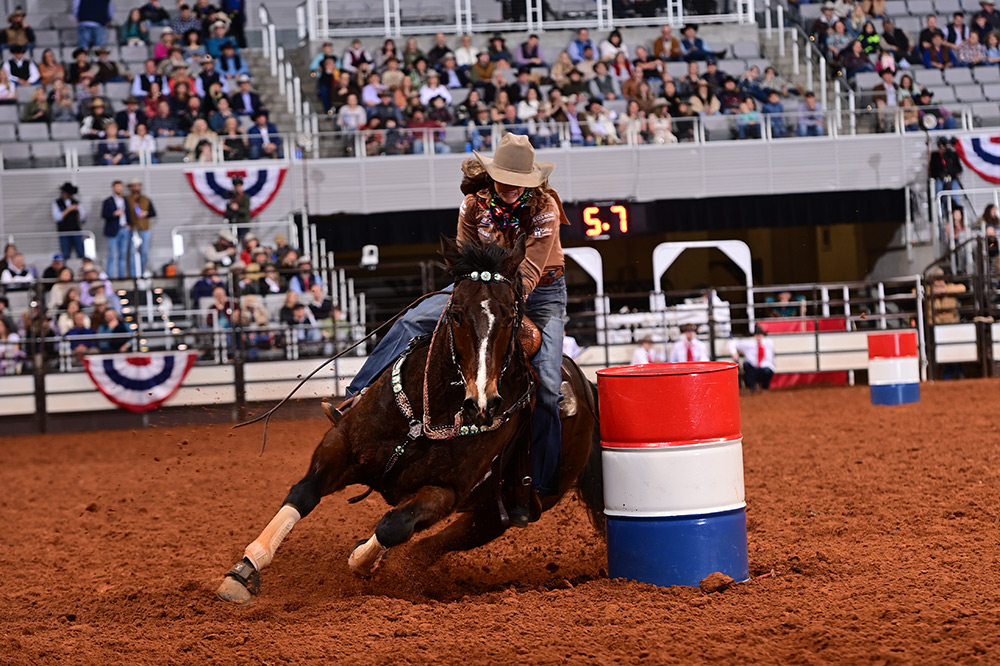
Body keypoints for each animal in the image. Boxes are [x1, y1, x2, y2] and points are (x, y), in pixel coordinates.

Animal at [216, 237, 600, 600]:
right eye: (456, 313)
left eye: (510, 317)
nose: (482, 403)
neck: (428, 416)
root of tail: (587, 388)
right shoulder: (342, 444)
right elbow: (304, 493)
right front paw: (244, 570)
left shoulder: (444, 492)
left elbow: (393, 527)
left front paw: (362, 561)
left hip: (499, 512)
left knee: (428, 546)